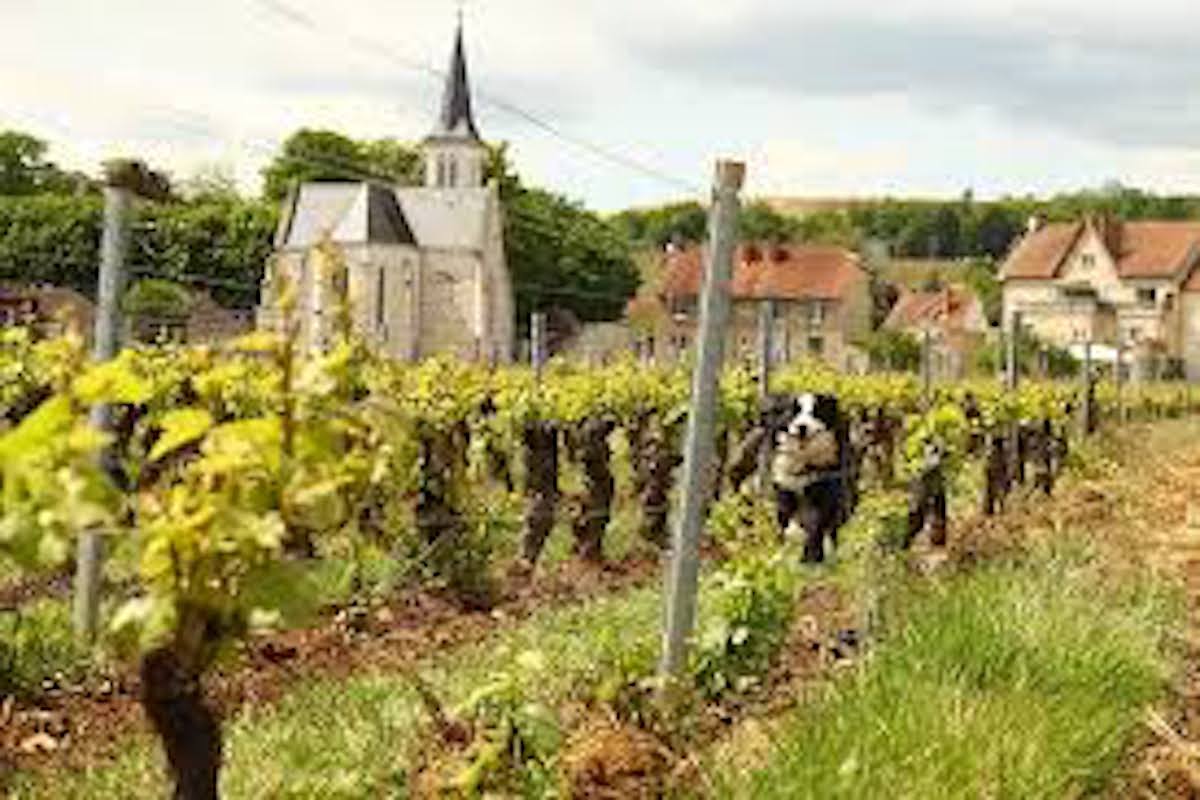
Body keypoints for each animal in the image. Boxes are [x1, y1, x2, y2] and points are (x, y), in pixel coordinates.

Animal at [768, 393, 854, 563]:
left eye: (815, 412)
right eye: (795, 411)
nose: (802, 427)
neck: (804, 460)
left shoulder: (822, 484)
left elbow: (815, 522)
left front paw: (810, 557)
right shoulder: (785, 484)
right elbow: (784, 518)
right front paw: (783, 552)